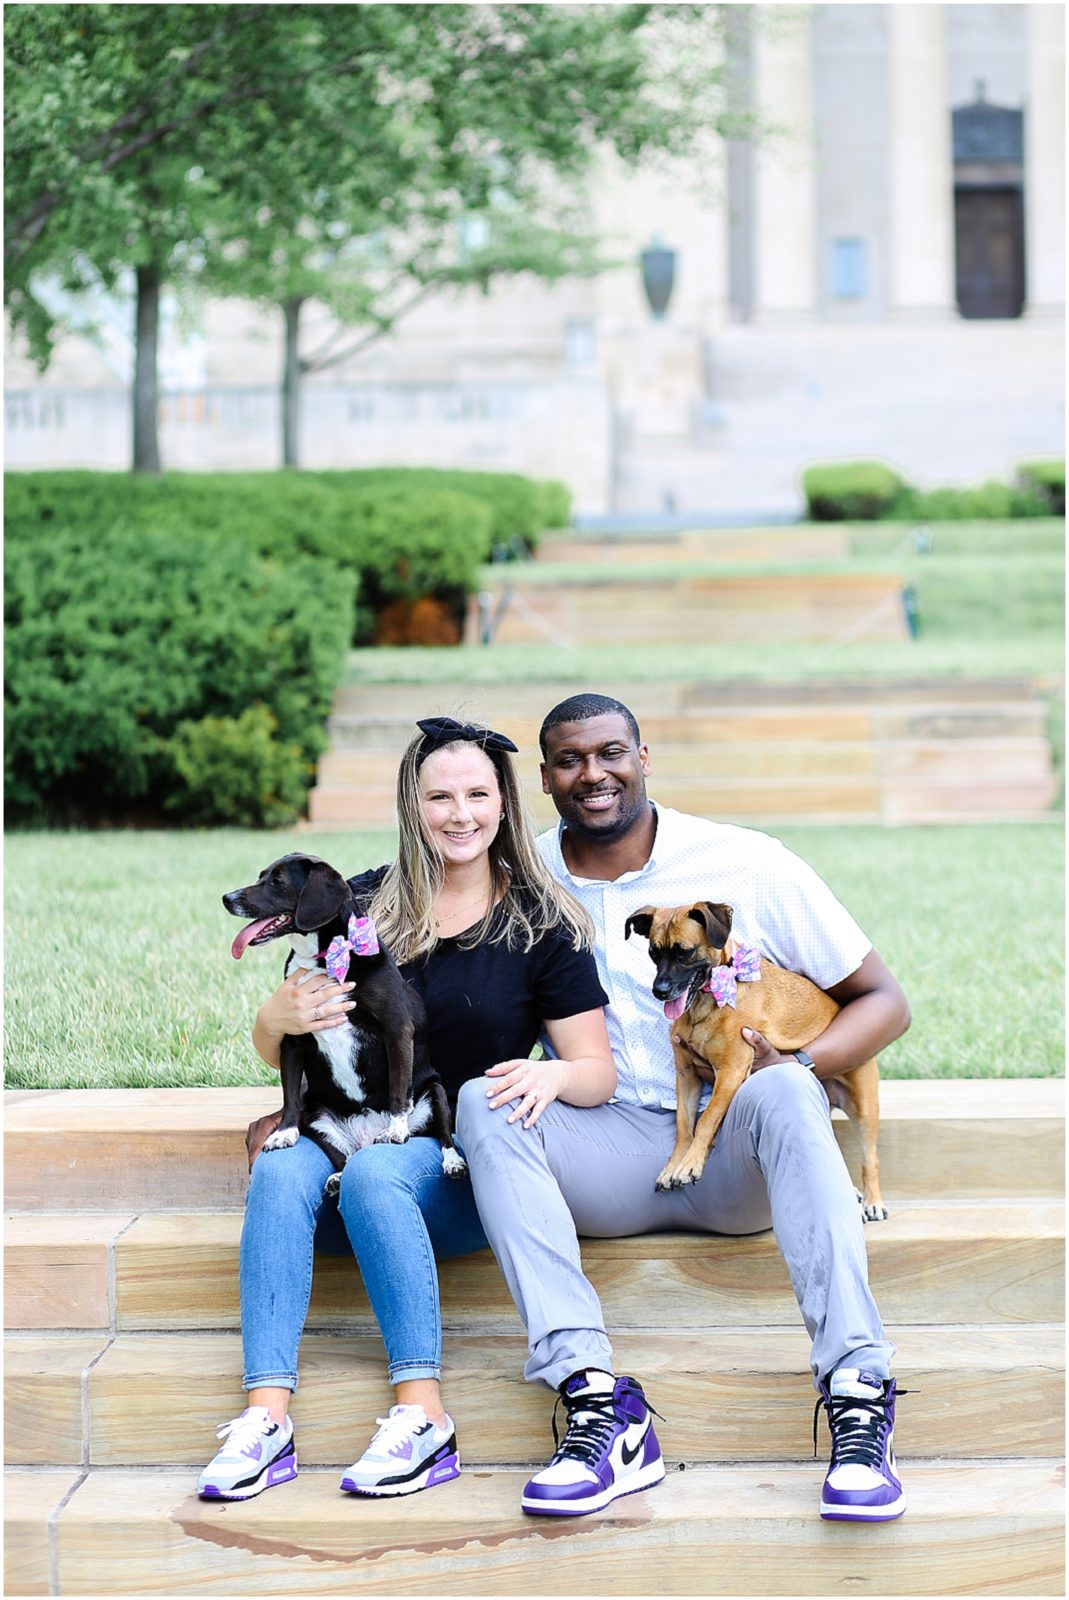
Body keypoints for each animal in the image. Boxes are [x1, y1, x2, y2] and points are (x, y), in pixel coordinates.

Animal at [224, 857, 460, 1196]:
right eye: (261, 877)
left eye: (278, 882)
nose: (227, 898)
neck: (324, 960)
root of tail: (365, 1137)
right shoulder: (292, 1037)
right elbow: (289, 1095)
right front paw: (283, 1133)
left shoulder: (397, 1031)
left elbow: (399, 1090)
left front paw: (396, 1129)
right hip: (315, 1114)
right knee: (341, 1156)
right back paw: (337, 1177)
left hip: (435, 1092)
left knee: (443, 1135)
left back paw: (451, 1161)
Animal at [627, 902, 883, 1222]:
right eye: (653, 954)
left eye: (684, 952)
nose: (659, 990)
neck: (705, 1004)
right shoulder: (686, 1076)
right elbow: (685, 1125)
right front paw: (675, 1164)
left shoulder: (731, 1071)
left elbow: (707, 1118)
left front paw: (690, 1164)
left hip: (864, 1107)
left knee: (870, 1158)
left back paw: (872, 1200)